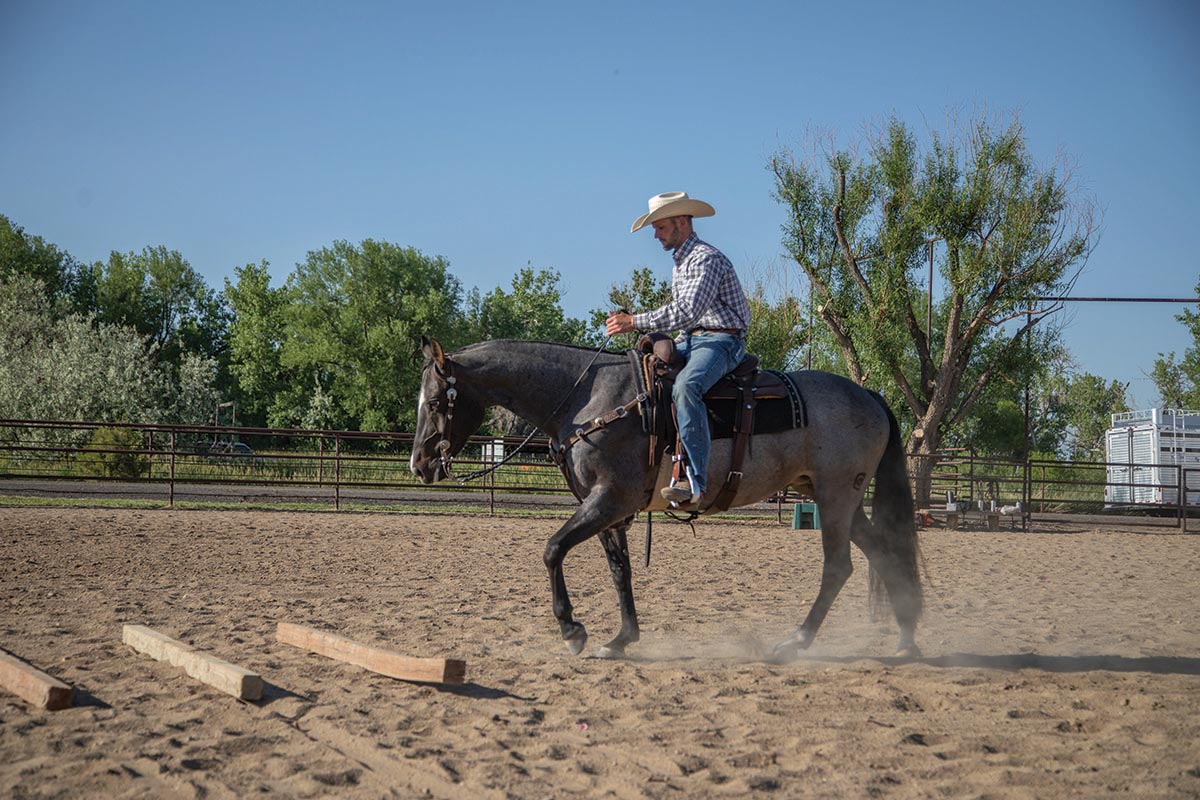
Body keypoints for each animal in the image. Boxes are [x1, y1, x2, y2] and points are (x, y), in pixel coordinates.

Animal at [408, 335, 921, 662]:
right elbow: (620, 571)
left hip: (835, 497)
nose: (419, 465)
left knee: (838, 567)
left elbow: (552, 549)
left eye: (434, 403)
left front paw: (572, 630)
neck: (590, 400)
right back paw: (907, 637)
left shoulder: (608, 500)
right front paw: (620, 639)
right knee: (884, 553)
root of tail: (869, 394)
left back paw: (796, 642)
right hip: (834, 497)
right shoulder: (608, 510)